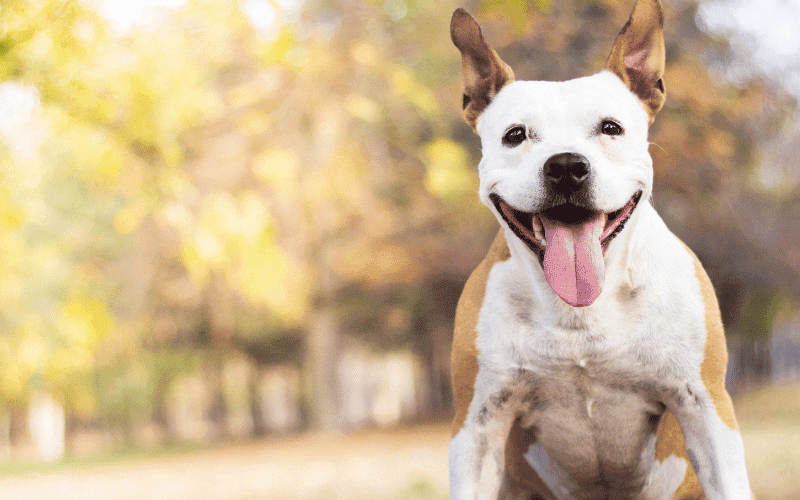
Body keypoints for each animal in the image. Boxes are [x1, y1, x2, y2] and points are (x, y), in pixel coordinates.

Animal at [446, 0, 752, 500]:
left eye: (611, 128)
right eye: (515, 135)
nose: (567, 165)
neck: (581, 312)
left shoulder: (704, 405)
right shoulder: (477, 424)